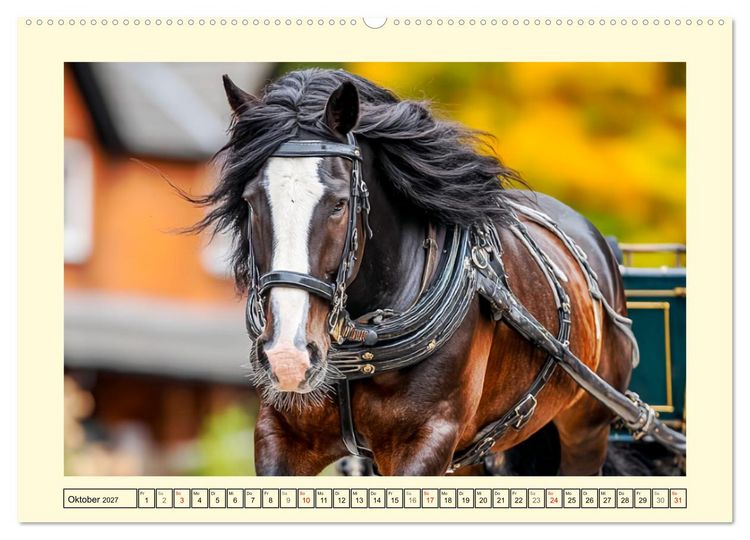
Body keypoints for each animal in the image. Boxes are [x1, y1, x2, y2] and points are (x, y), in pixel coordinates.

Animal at [190, 68, 636, 476]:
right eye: (250, 201)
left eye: (339, 204)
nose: (287, 357)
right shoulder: (280, 435)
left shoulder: (427, 441)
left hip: (586, 431)